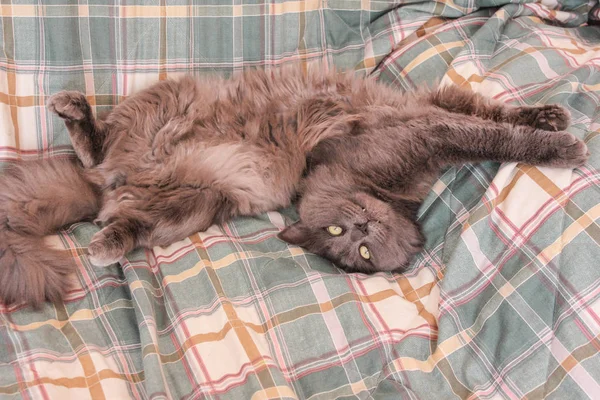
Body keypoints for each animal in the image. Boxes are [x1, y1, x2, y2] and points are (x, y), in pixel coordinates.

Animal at [0, 65, 592, 306]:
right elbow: (494, 135)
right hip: (163, 115)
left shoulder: (434, 109)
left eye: (359, 248)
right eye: (342, 239)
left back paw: (106, 239)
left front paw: (549, 116)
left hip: (195, 203)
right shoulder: (428, 130)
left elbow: (491, 112)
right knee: (97, 153)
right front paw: (564, 149)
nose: (362, 225)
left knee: (125, 213)